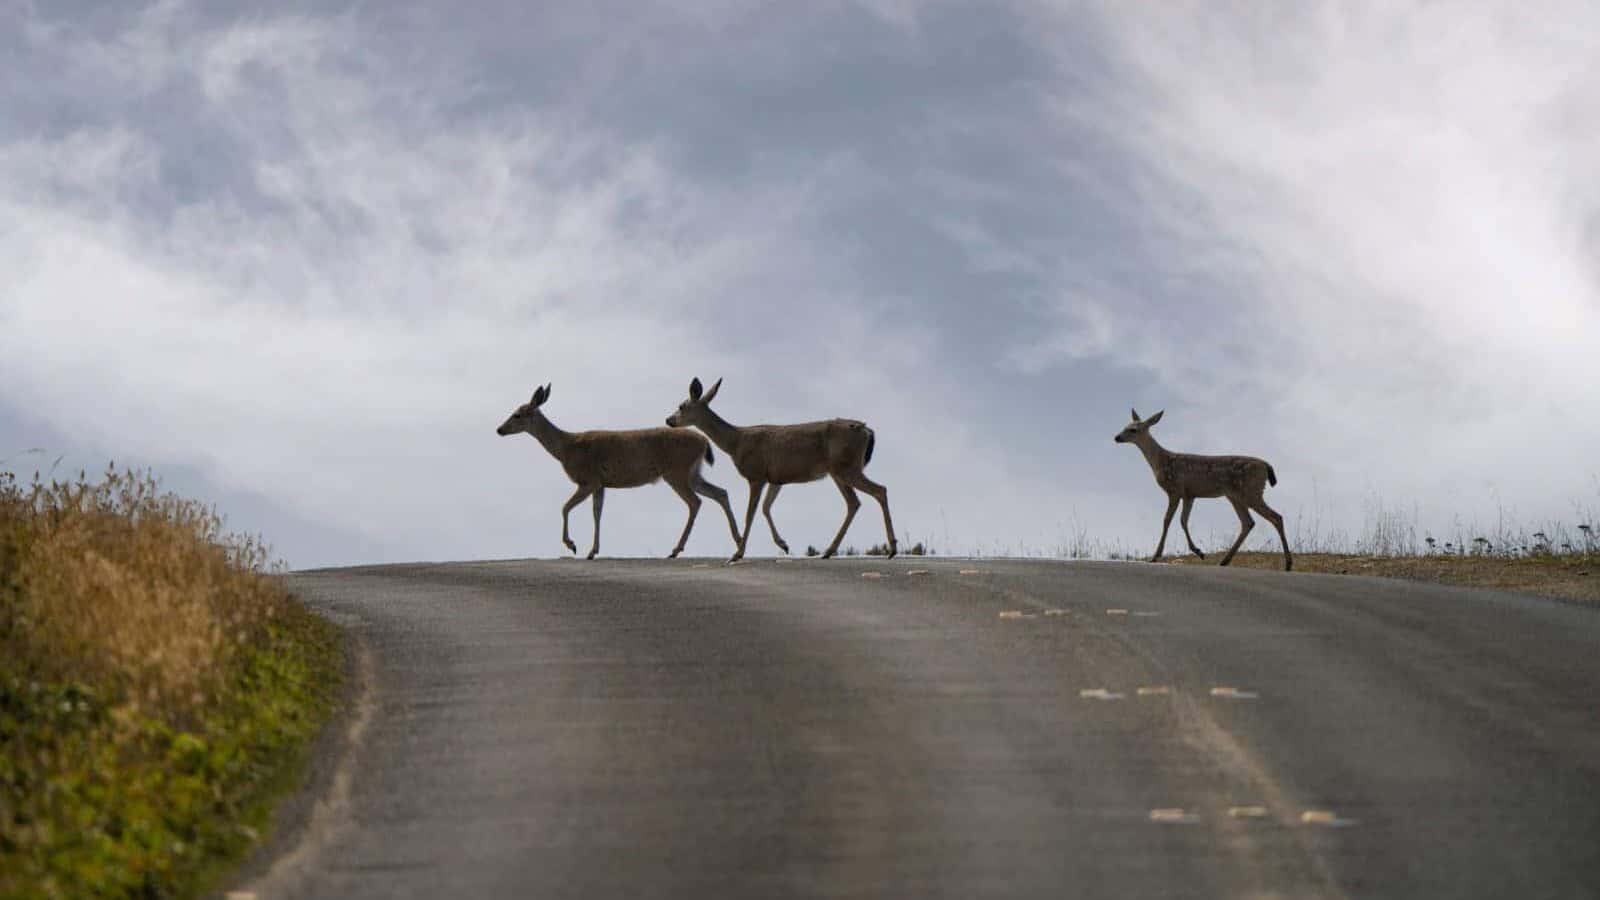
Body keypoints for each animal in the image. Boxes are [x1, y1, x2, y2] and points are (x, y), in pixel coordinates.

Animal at [496, 384, 740, 559]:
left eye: (517, 414)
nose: (499, 429)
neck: (566, 448)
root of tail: (704, 442)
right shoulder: (601, 484)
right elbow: (597, 512)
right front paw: (592, 551)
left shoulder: (588, 479)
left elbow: (565, 507)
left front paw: (573, 545)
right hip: (693, 473)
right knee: (720, 493)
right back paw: (736, 543)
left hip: (676, 472)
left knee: (695, 501)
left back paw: (675, 549)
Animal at [665, 377, 896, 562]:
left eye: (681, 406)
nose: (668, 420)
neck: (735, 442)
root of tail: (867, 430)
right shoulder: (776, 479)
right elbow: (766, 508)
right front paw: (783, 544)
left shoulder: (756, 474)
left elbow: (750, 513)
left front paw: (737, 554)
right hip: (839, 471)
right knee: (854, 502)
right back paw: (829, 551)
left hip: (847, 468)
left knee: (879, 490)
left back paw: (891, 549)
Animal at [1114, 409, 1292, 571]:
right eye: (1125, 426)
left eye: (1133, 430)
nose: (1117, 437)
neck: (1162, 462)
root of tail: (1267, 466)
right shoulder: (1189, 495)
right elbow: (1183, 520)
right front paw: (1198, 551)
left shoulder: (1175, 489)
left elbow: (1167, 520)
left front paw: (1156, 556)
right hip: (1235, 495)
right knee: (1248, 522)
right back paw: (1224, 561)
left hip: (1251, 491)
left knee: (1276, 517)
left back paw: (1288, 564)